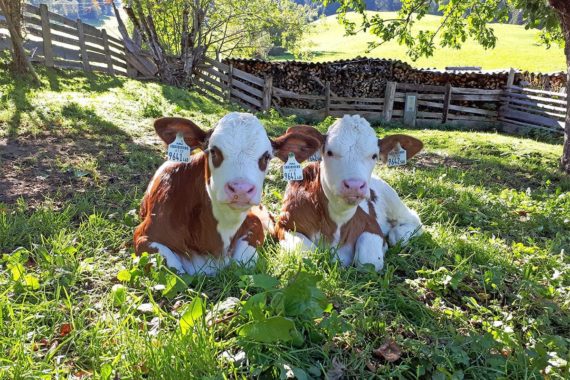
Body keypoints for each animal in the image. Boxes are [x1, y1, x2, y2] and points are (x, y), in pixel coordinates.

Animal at [134, 111, 320, 274]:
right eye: (214, 151)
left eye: (266, 157)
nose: (241, 189)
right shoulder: (143, 236)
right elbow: (173, 268)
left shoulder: (254, 223)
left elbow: (243, 262)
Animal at [272, 115, 424, 270]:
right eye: (329, 152)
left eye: (374, 155)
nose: (354, 185)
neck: (337, 221)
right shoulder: (284, 225)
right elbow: (307, 254)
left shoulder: (372, 225)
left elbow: (369, 261)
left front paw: (383, 247)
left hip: (393, 200)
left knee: (413, 221)